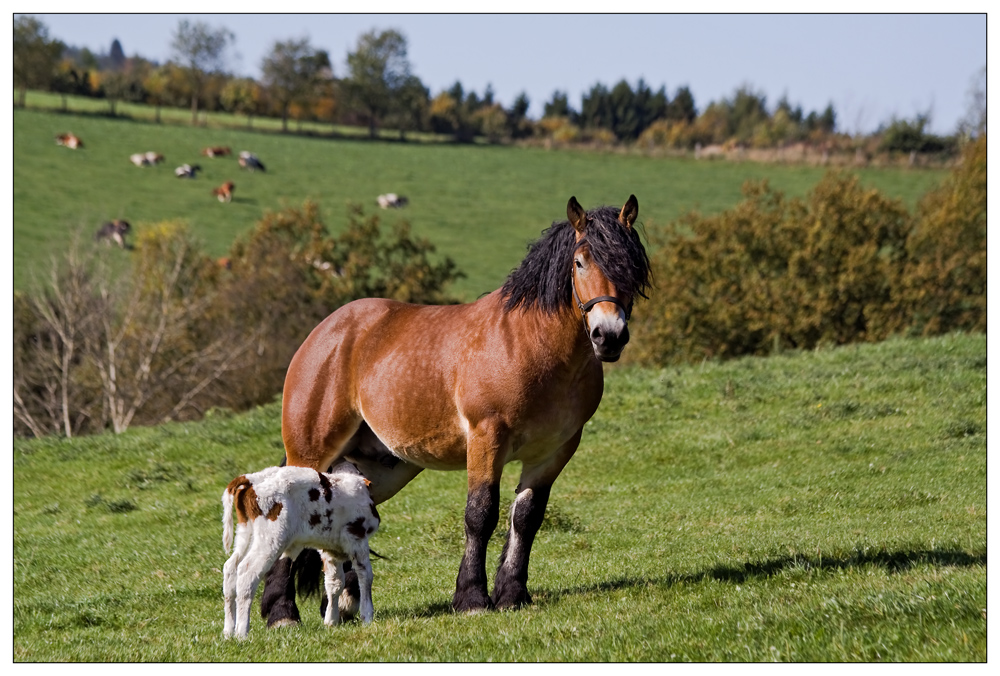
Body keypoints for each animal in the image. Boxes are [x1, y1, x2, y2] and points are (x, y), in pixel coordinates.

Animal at [222, 464, 378, 640]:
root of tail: (252, 478)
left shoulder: (330, 550)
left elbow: (335, 583)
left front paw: (331, 621)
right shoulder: (357, 539)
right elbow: (365, 576)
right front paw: (367, 617)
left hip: (245, 534)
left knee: (230, 569)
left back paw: (228, 631)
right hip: (270, 539)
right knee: (246, 574)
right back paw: (242, 633)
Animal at [264, 194, 648, 616]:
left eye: (633, 264)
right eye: (580, 262)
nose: (609, 335)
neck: (531, 344)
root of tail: (323, 334)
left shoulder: (554, 452)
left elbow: (527, 517)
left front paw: (512, 593)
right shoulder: (486, 439)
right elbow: (481, 514)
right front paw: (473, 597)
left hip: (379, 467)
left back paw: (346, 605)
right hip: (311, 452)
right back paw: (281, 613)